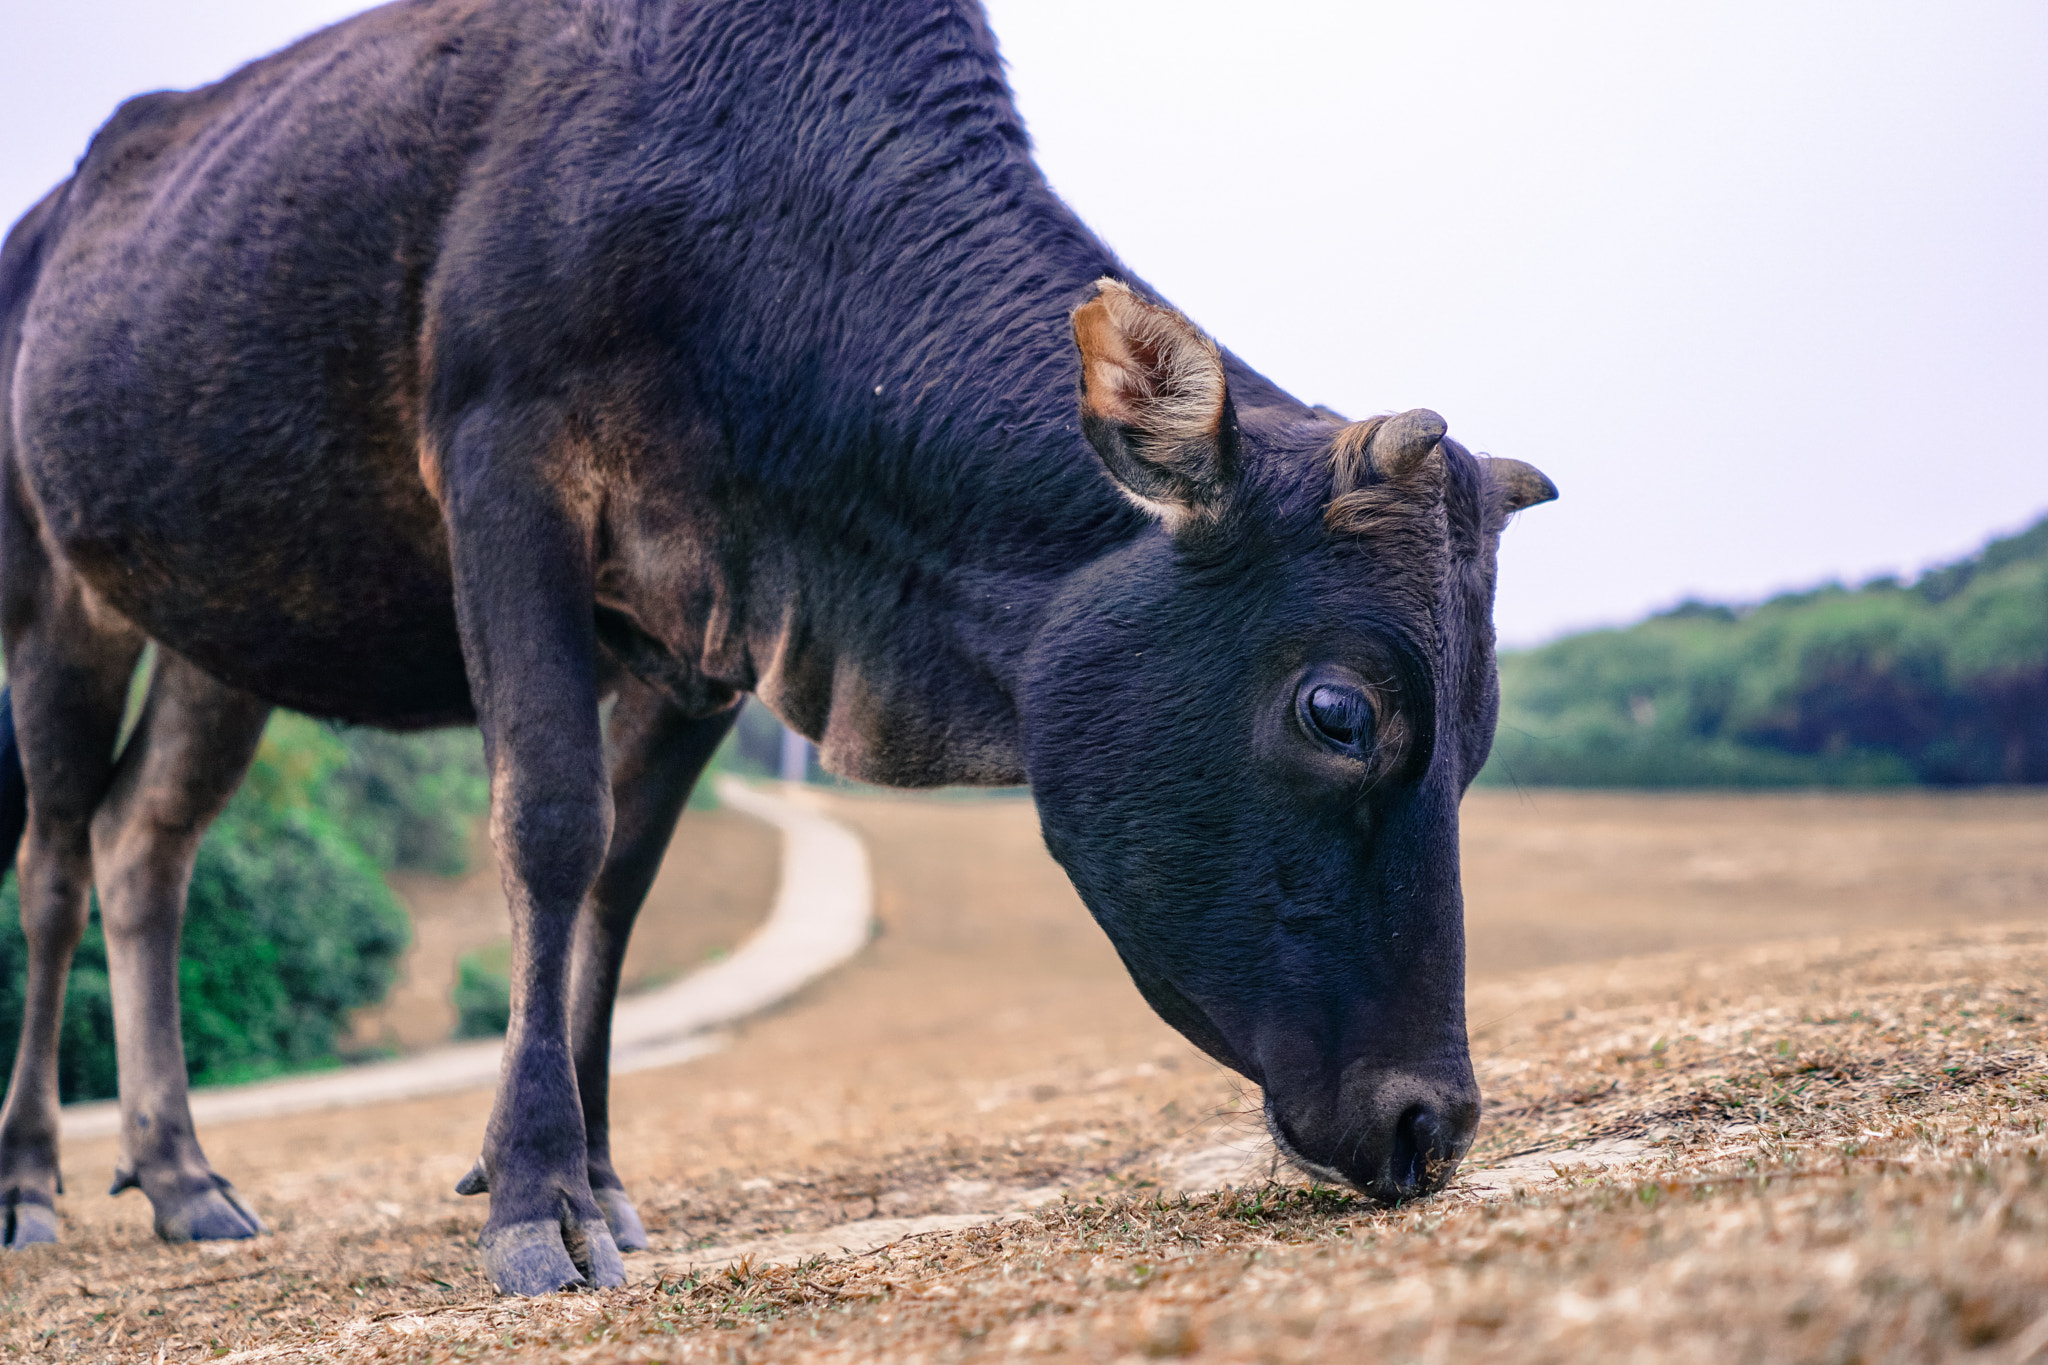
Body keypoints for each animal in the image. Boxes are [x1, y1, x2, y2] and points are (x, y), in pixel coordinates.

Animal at [0, 0, 1548, 1293]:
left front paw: (600, 1177)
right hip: (50, 595)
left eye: (1479, 738)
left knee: (147, 847)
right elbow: (549, 827)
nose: (1431, 1120)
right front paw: (537, 1198)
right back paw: (34, 1185)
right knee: (58, 859)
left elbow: (618, 884)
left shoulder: (709, 620)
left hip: (218, 633)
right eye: (1339, 710)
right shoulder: (505, 468)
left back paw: (184, 1177)